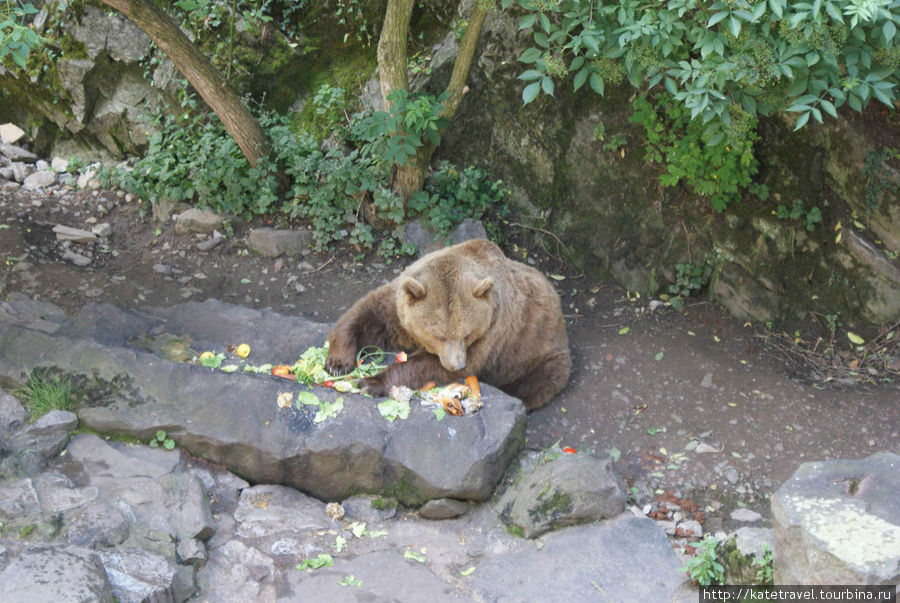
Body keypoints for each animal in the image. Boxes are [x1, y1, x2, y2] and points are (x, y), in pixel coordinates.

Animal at [326, 239, 568, 410]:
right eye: (439, 335)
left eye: (468, 334)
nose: (456, 365)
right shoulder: (398, 307)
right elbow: (367, 315)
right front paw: (338, 363)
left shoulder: (493, 330)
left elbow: (429, 365)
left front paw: (371, 382)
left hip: (537, 353)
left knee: (536, 382)